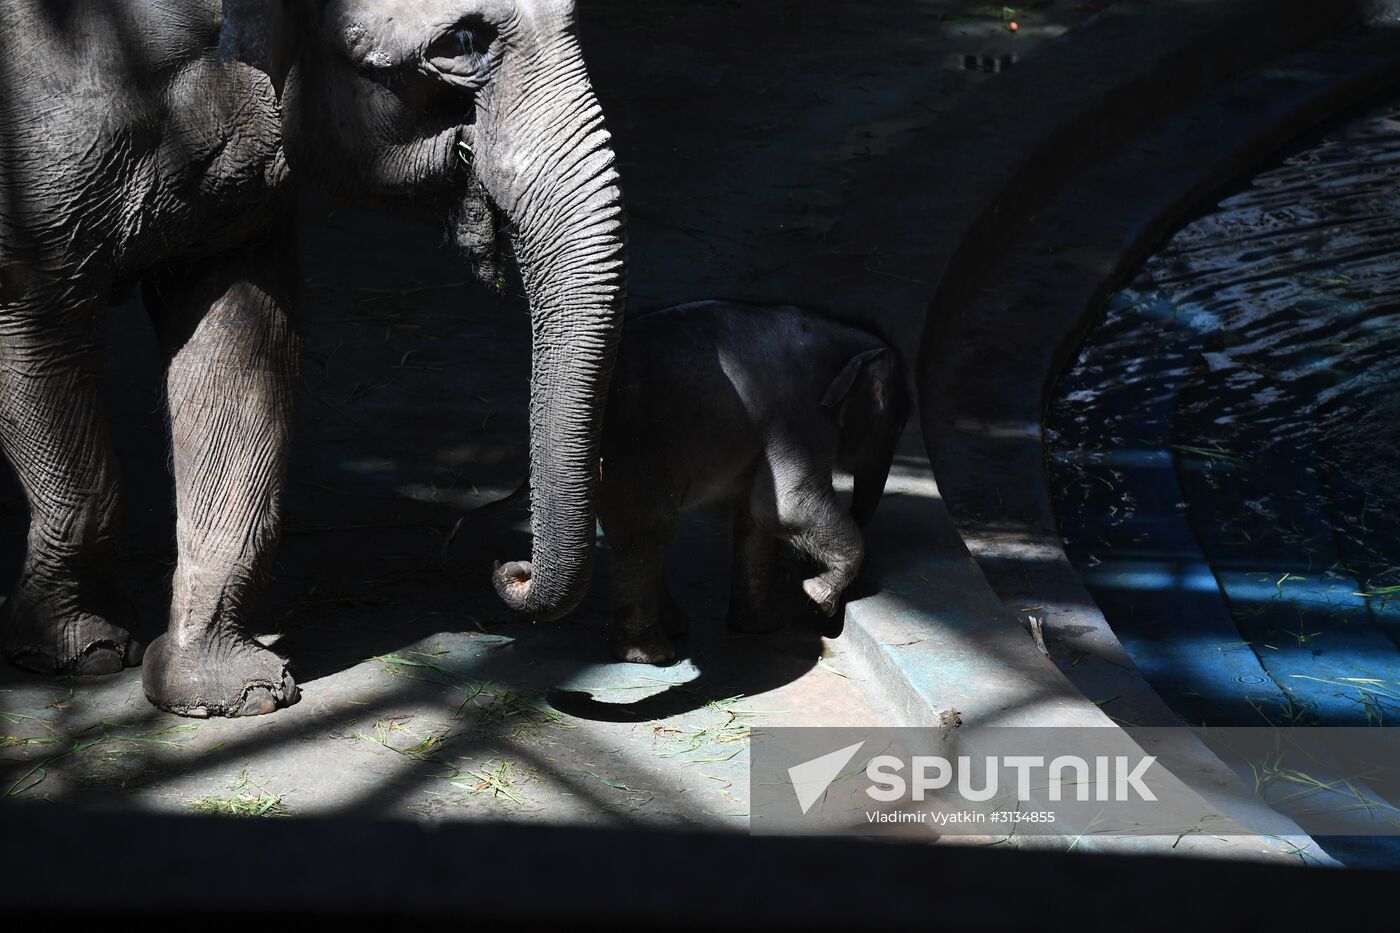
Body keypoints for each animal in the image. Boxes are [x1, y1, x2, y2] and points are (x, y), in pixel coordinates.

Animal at [0, 0, 627, 717]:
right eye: (461, 41)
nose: (510, 569)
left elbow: (238, 360)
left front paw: (230, 695)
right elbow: (39, 330)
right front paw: (85, 653)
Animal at [595, 301, 910, 664]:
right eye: (898, 427)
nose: (804, 564)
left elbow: (756, 516)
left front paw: (763, 626)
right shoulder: (799, 418)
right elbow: (787, 507)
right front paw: (816, 596)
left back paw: (673, 628)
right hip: (632, 445)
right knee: (649, 526)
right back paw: (652, 654)